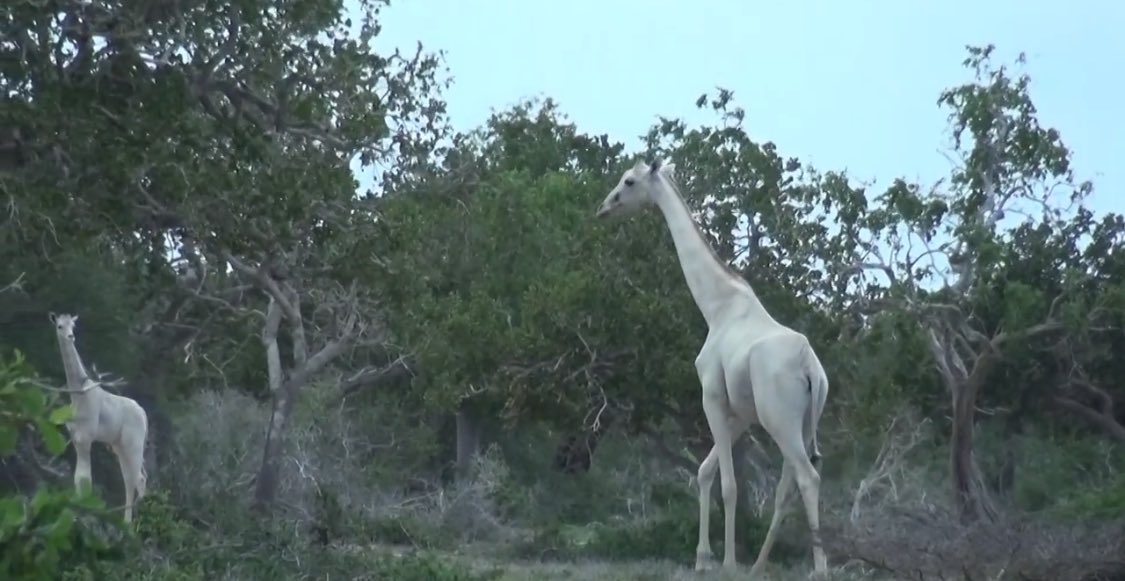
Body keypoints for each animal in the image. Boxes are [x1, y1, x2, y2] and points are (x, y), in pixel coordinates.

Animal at [49, 313, 149, 523]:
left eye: (73, 326)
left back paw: (134, 522)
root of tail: (144, 414)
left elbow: (85, 478)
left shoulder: (86, 437)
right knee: (130, 479)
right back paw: (128, 522)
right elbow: (79, 478)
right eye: (60, 326)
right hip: (119, 446)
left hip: (133, 443)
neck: (78, 395)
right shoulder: (76, 438)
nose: (70, 336)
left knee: (138, 478)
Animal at [595, 159, 830, 576]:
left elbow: (729, 485)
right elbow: (705, 472)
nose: (604, 208)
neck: (716, 307)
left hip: (780, 421)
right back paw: (760, 566)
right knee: (787, 486)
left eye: (630, 181)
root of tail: (810, 370)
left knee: (807, 477)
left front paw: (727, 562)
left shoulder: (712, 397)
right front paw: (703, 558)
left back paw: (818, 569)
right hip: (800, 424)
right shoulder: (741, 414)